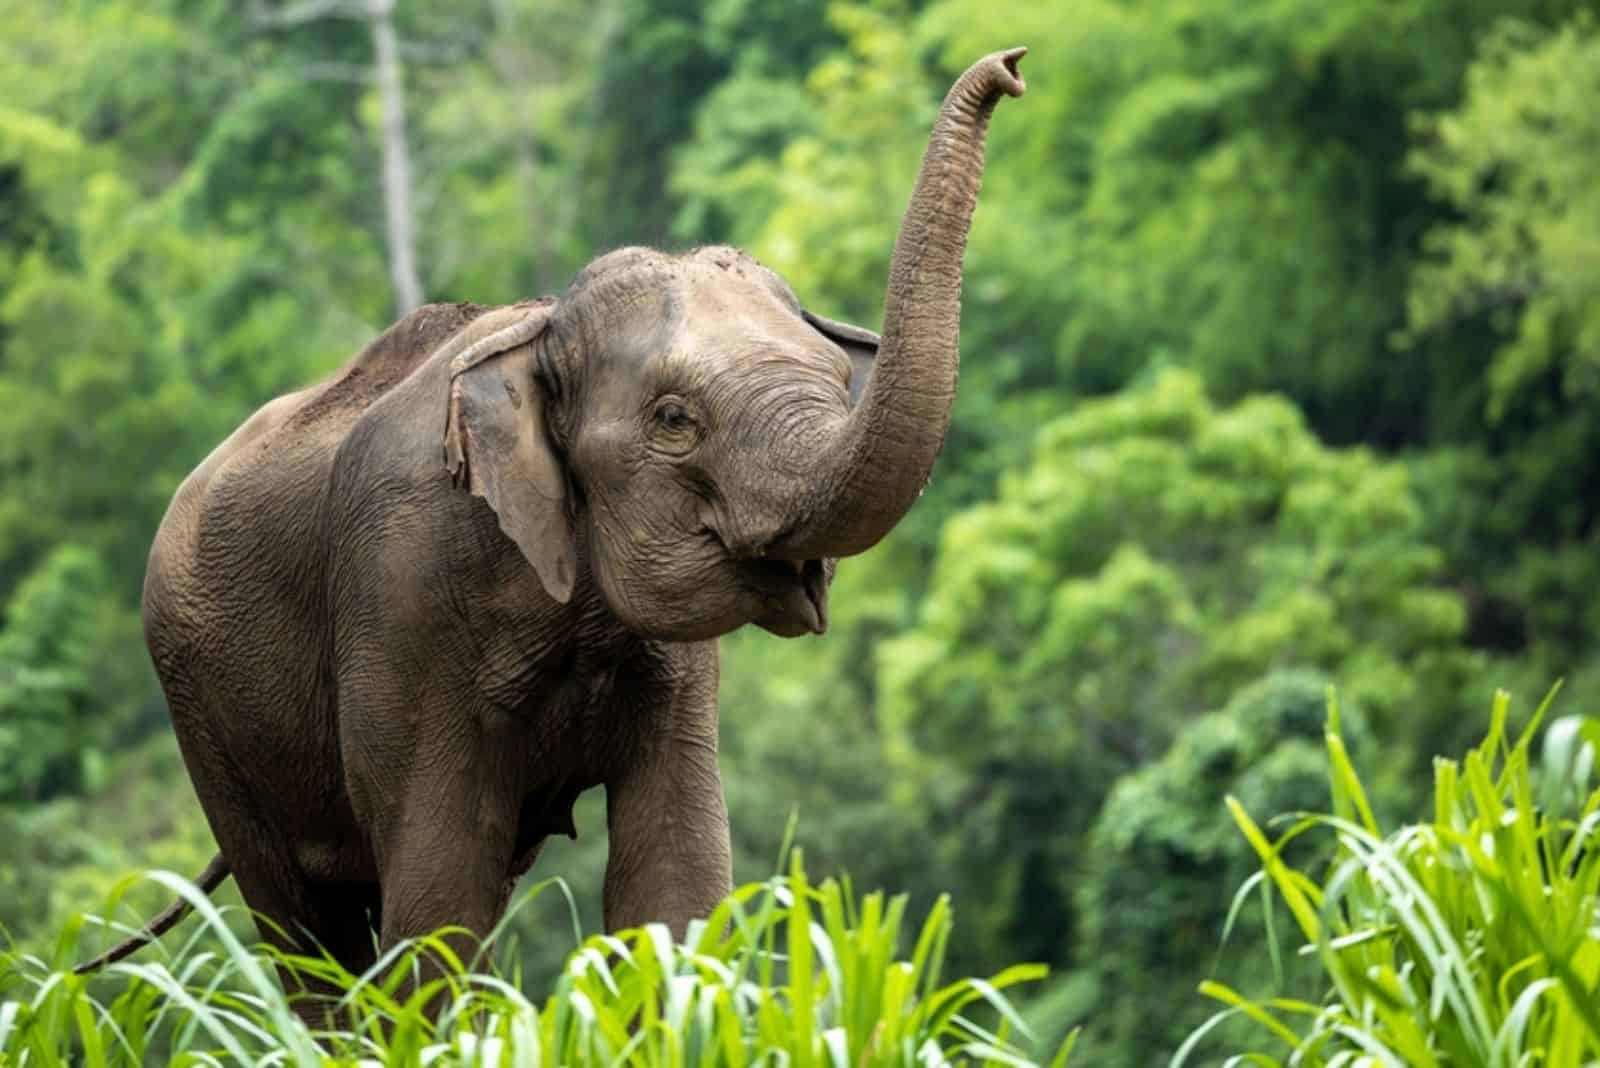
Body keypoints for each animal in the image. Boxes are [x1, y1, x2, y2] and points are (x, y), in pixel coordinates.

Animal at [72, 43, 1024, 1010]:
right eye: (674, 420)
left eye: (837, 379)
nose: (1013, 66)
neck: (541, 326)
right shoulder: (402, 593)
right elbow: (439, 891)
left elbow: (675, 874)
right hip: (200, 705)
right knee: (307, 927)